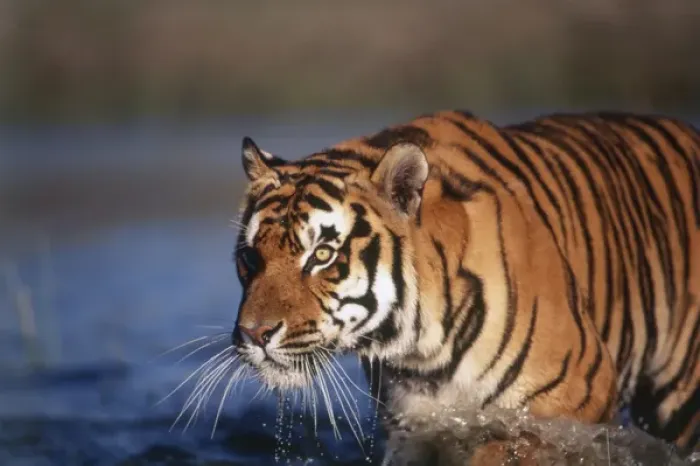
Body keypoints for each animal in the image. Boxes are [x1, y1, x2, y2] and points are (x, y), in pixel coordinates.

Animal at [231, 110, 700, 463]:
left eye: (323, 255)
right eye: (251, 257)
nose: (254, 335)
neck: (421, 350)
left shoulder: (568, 407)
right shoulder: (418, 426)